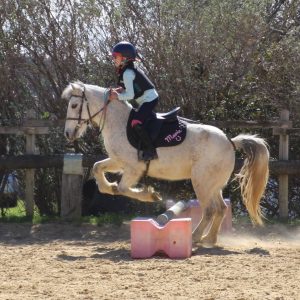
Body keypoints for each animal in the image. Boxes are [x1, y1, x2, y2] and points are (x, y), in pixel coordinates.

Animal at [62, 81, 270, 246]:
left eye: (74, 105)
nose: (68, 134)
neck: (118, 122)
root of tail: (230, 141)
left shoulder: (133, 168)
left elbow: (123, 188)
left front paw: (150, 195)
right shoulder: (118, 161)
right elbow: (98, 168)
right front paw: (109, 187)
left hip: (202, 182)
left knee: (210, 210)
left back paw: (196, 237)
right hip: (213, 185)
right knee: (220, 209)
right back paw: (208, 239)